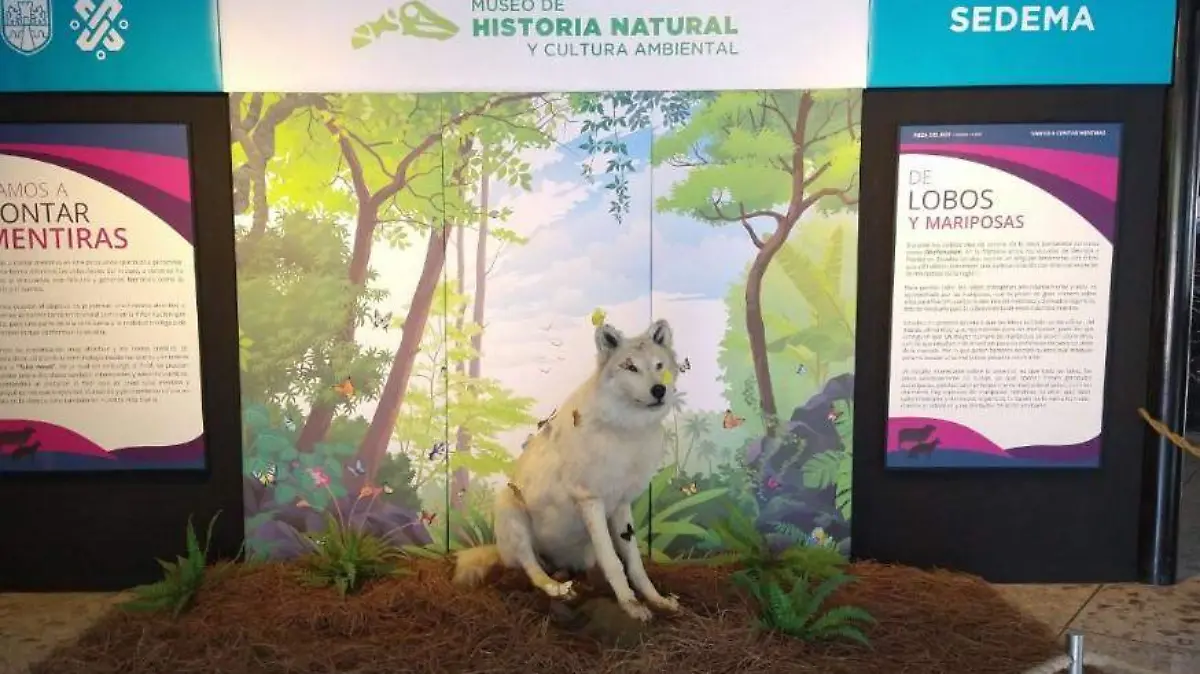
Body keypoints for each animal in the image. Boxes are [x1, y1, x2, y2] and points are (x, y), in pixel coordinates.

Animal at [453, 319, 681, 622]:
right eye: (630, 367)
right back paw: (560, 590)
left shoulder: (621, 505)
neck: (627, 432)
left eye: (659, 365)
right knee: (534, 571)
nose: (659, 390)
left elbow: (634, 564)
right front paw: (631, 606)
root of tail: (500, 551)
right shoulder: (591, 501)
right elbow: (613, 562)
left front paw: (656, 600)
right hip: (511, 511)